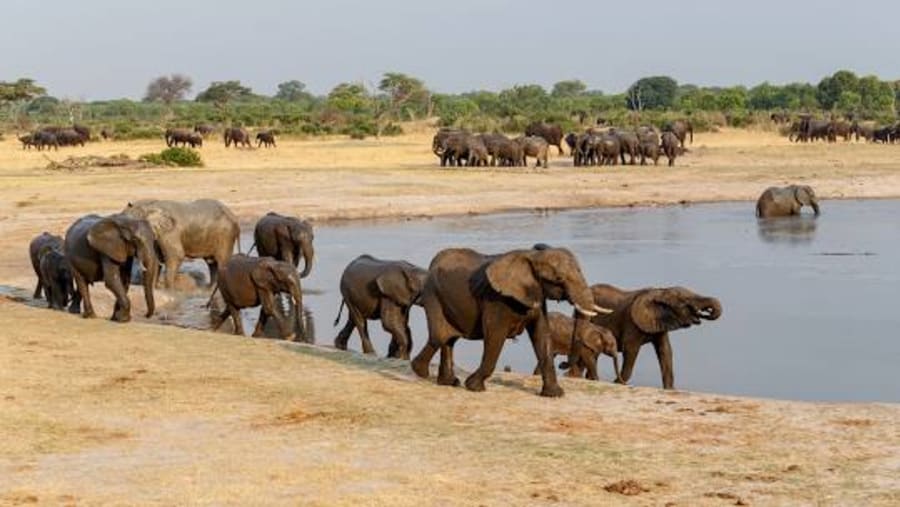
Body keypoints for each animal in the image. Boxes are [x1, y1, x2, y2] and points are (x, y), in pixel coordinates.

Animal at [410, 246, 611, 397]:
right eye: (559, 279)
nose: (563, 365)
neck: (532, 256)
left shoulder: (537, 295)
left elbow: (542, 335)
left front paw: (554, 394)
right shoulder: (496, 299)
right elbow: (495, 336)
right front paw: (474, 386)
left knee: (449, 339)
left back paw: (448, 382)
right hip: (433, 294)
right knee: (439, 336)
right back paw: (420, 371)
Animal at [588, 284, 722, 389]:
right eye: (685, 302)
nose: (706, 312)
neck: (661, 292)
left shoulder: (659, 322)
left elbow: (665, 351)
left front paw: (670, 389)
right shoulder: (632, 323)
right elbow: (631, 350)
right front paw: (617, 383)